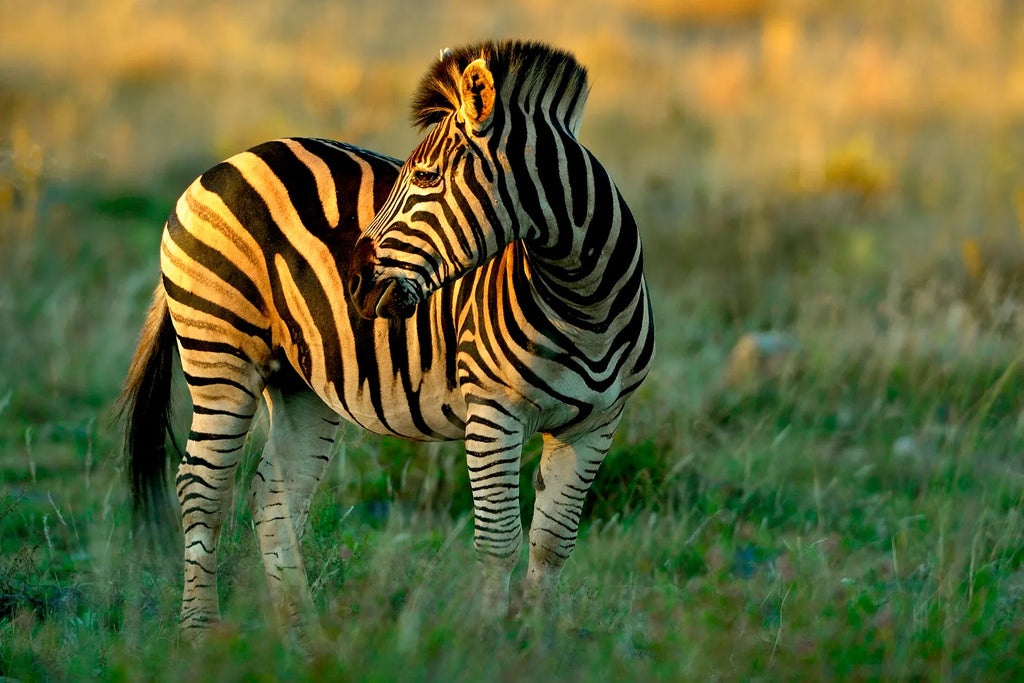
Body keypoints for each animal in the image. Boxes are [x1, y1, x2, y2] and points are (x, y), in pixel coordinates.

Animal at [119, 40, 654, 639]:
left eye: (425, 179)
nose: (353, 282)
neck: (584, 303)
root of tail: (227, 162)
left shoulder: (597, 424)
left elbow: (551, 543)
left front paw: (538, 644)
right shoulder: (494, 411)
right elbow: (499, 542)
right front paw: (490, 641)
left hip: (299, 382)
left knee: (273, 496)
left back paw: (302, 635)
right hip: (221, 354)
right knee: (201, 489)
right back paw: (199, 634)